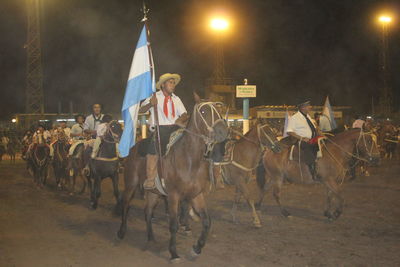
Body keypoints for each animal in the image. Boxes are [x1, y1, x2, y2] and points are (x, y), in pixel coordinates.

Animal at [117, 97, 228, 264]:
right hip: (131, 183)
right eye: (203, 111)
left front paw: (196, 249)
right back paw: (122, 231)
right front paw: (174, 253)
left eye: (219, 109)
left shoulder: (196, 195)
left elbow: (207, 221)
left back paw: (151, 237)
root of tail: (133, 148)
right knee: (125, 204)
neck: (189, 159)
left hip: (153, 192)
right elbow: (173, 225)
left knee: (147, 212)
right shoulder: (173, 196)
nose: (223, 131)